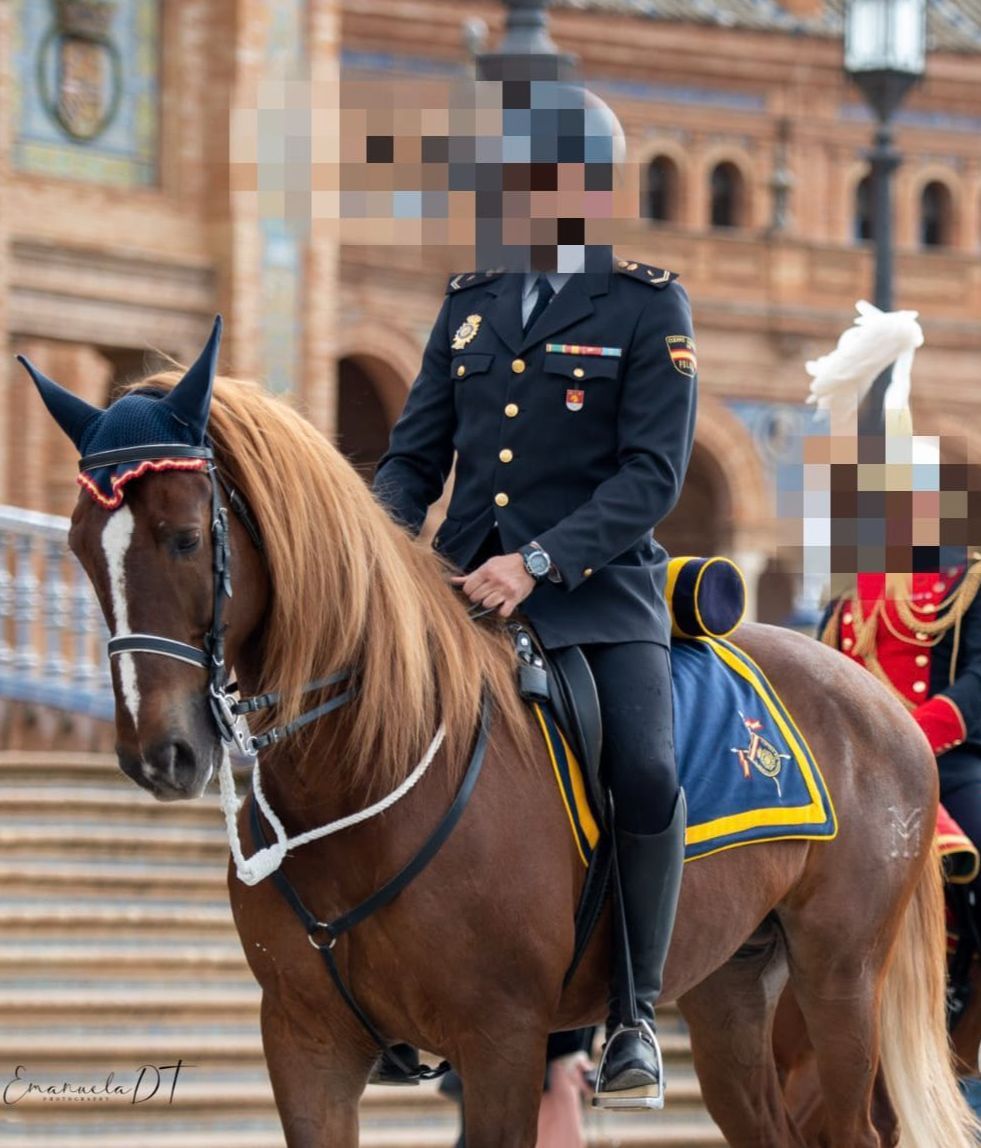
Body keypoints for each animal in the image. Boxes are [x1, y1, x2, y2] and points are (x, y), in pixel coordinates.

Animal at [34, 347, 978, 1148]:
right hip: (732, 990)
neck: (358, 780)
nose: (159, 754)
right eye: (81, 547)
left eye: (187, 538)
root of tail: (879, 703)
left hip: (839, 979)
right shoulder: (305, 1044)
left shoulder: (502, 1042)